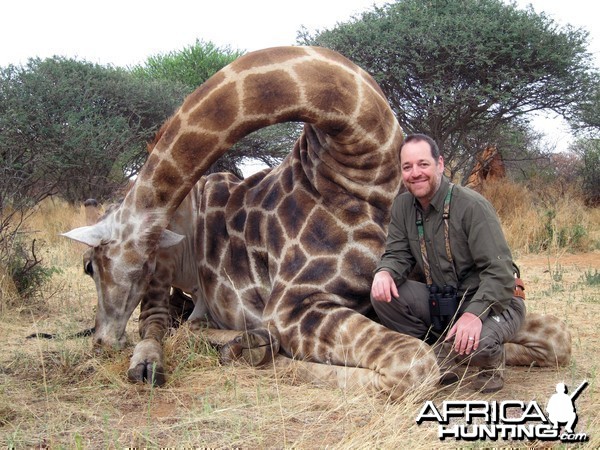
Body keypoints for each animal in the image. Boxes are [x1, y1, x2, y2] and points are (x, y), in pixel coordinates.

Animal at [63, 45, 568, 398]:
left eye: (90, 267)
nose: (101, 341)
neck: (364, 166)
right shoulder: (293, 306)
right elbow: (416, 366)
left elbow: (556, 337)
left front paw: (475, 358)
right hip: (167, 264)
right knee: (157, 321)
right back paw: (170, 359)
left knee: (183, 319)